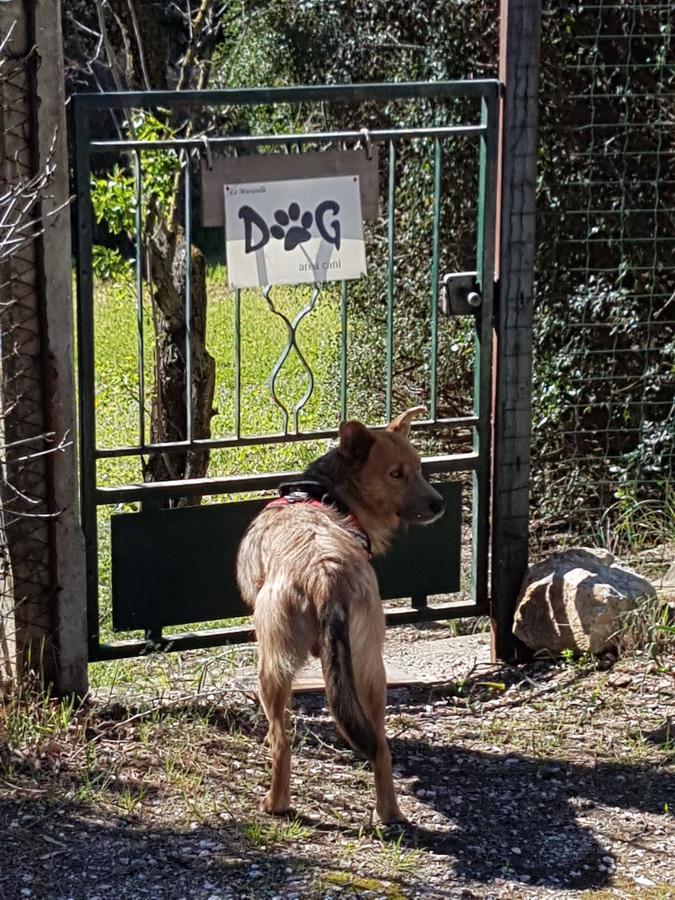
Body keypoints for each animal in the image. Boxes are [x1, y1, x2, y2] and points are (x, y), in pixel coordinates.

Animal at [235, 408, 446, 824]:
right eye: (398, 473)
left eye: (417, 469)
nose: (439, 504)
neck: (329, 492)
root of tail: (325, 573)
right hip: (370, 669)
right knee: (380, 745)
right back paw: (388, 811)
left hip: (272, 667)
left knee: (282, 742)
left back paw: (275, 803)